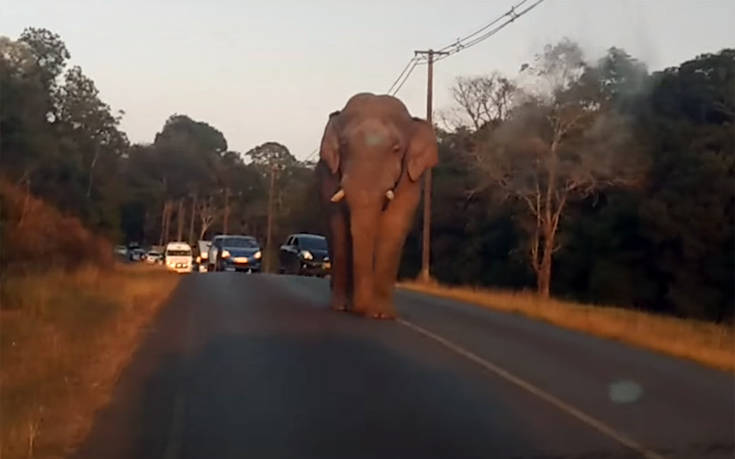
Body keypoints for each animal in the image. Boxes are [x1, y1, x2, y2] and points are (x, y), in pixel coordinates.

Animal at [314, 91, 436, 318]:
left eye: (396, 149)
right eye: (344, 145)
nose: (360, 309)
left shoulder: (411, 179)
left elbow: (394, 225)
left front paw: (381, 314)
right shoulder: (329, 176)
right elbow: (339, 227)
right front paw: (342, 307)